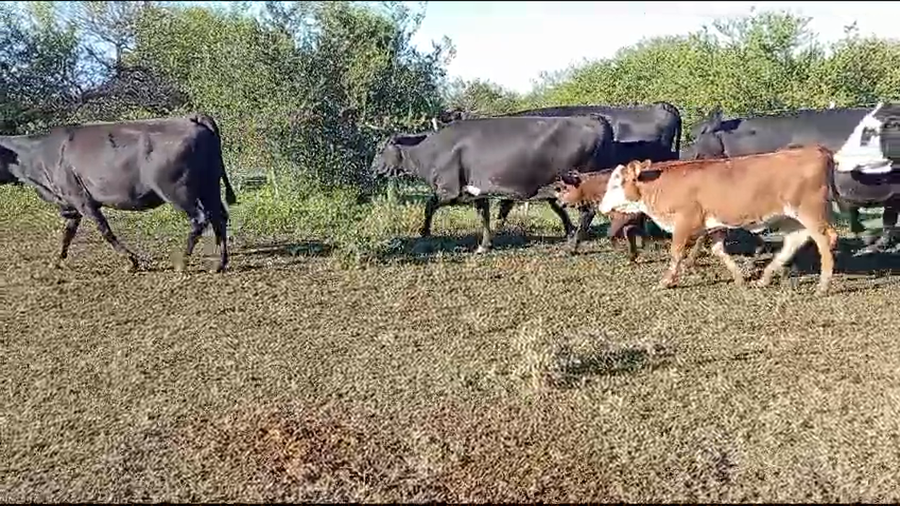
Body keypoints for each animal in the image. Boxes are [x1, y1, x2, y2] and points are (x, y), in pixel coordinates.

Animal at [0, 113, 237, 273]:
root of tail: (192, 118)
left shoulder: (81, 199)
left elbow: (104, 230)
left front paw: (131, 261)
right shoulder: (72, 204)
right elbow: (67, 234)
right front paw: (55, 261)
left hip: (178, 190)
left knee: (200, 218)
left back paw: (181, 262)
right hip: (210, 187)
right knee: (220, 217)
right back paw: (220, 263)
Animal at [370, 115, 617, 254]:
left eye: (380, 149)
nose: (373, 168)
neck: (431, 151)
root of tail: (593, 119)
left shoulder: (449, 189)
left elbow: (429, 205)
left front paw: (424, 233)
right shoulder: (477, 191)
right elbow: (485, 216)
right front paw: (484, 245)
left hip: (577, 184)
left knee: (587, 212)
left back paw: (572, 247)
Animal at [583, 145, 839, 295]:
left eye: (616, 184)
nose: (602, 205)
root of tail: (817, 149)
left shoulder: (685, 221)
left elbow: (676, 253)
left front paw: (666, 281)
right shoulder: (713, 225)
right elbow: (719, 251)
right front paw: (739, 278)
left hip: (810, 212)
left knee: (826, 238)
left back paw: (823, 285)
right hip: (791, 218)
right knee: (794, 242)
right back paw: (765, 278)